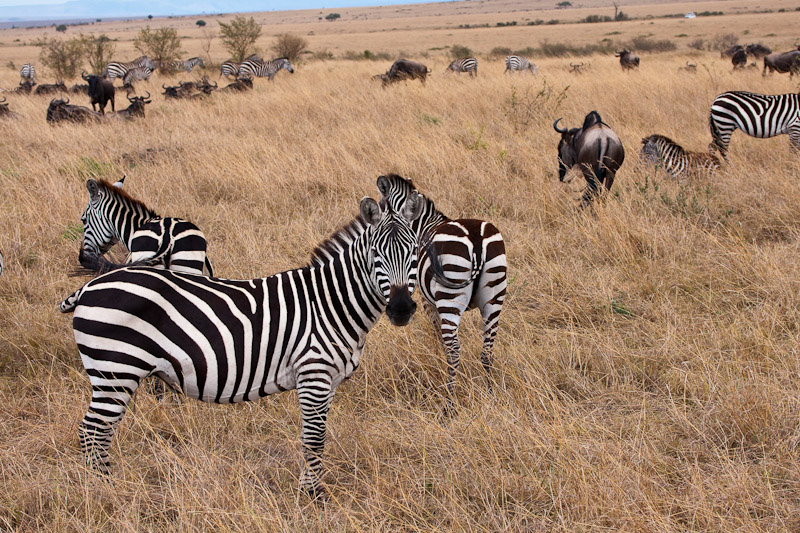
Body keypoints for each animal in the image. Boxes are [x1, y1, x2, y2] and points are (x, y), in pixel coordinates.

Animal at [58, 192, 424, 494]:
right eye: (376, 254)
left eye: (415, 252)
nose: (401, 308)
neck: (331, 303)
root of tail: (91, 286)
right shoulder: (314, 375)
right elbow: (313, 440)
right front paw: (313, 496)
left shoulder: (328, 381)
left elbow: (317, 438)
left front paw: (312, 489)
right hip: (115, 370)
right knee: (93, 431)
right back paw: (105, 490)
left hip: (114, 372)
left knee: (96, 431)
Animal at [376, 172, 506, 410]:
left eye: (380, 207)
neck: (421, 225)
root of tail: (476, 240)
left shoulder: (427, 300)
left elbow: (437, 333)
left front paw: (436, 359)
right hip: (495, 294)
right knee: (488, 349)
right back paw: (490, 393)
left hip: (449, 299)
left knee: (454, 350)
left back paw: (449, 403)